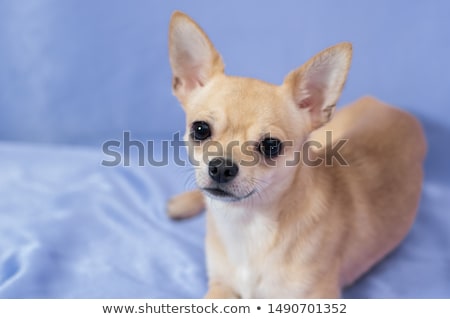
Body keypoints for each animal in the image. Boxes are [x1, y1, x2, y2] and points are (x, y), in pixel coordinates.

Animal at [166, 10, 426, 300]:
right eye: (200, 129)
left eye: (271, 146)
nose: (221, 167)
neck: (247, 224)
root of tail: (390, 107)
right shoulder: (220, 286)